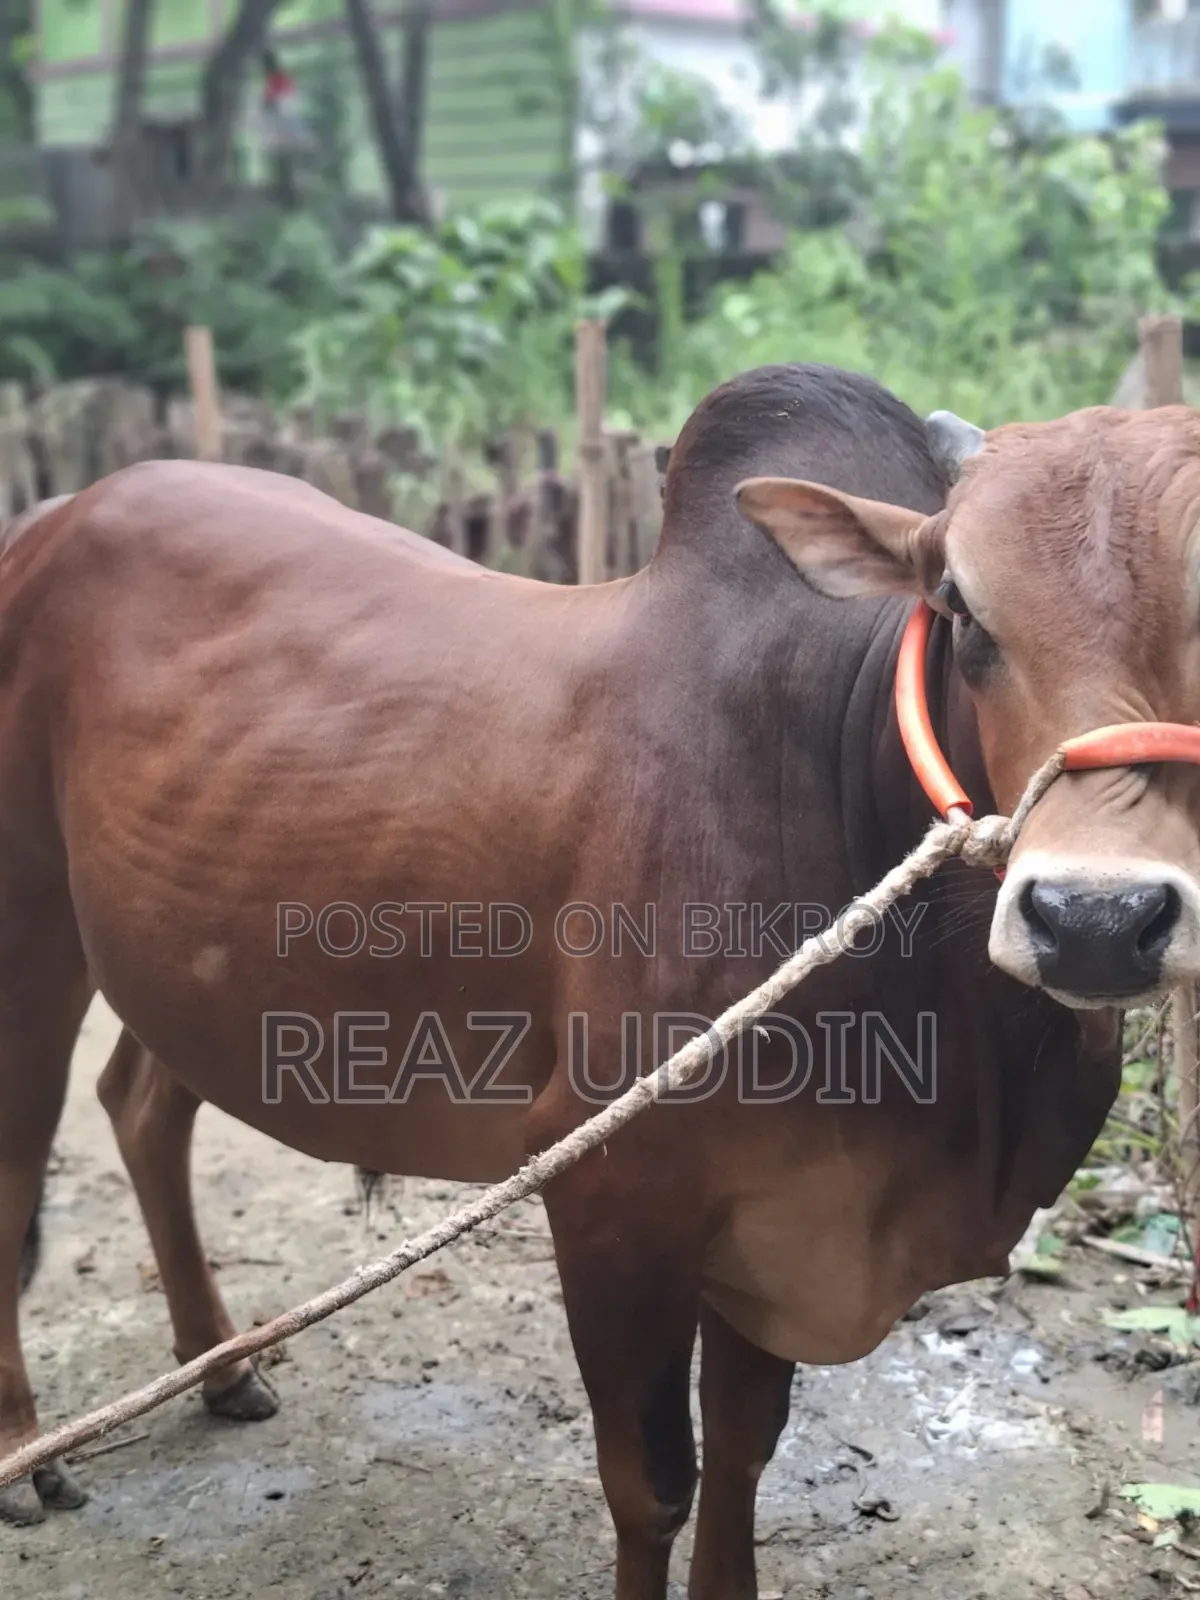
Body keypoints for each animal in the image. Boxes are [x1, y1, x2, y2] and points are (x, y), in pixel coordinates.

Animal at [1, 361, 1154, 1600]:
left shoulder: (775, 1214)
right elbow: (653, 1480)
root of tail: (57, 512)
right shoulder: (611, 1189)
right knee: (19, 1164)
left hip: (181, 941)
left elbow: (745, 1445)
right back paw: (28, 1450)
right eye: (963, 609)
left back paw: (220, 1367)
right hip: (33, 924)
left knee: (140, 1103)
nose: (1097, 918)